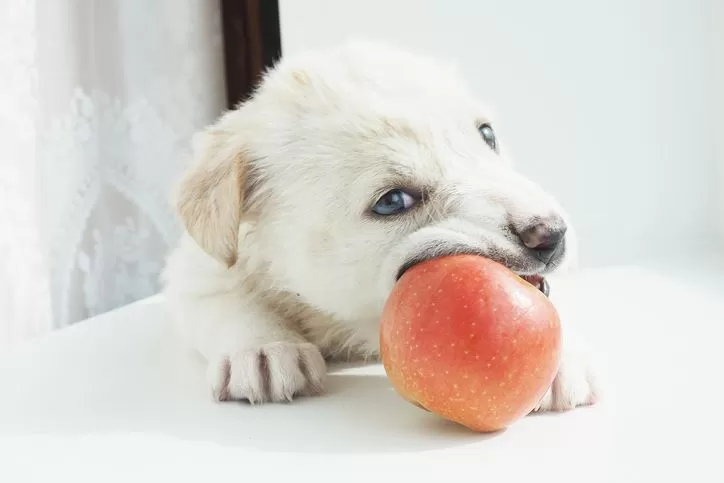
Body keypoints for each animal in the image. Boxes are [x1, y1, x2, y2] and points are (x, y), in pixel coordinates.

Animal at [163, 42, 600, 412]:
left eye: (487, 134)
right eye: (391, 202)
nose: (553, 235)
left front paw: (562, 361)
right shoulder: (197, 271)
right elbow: (228, 302)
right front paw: (264, 348)